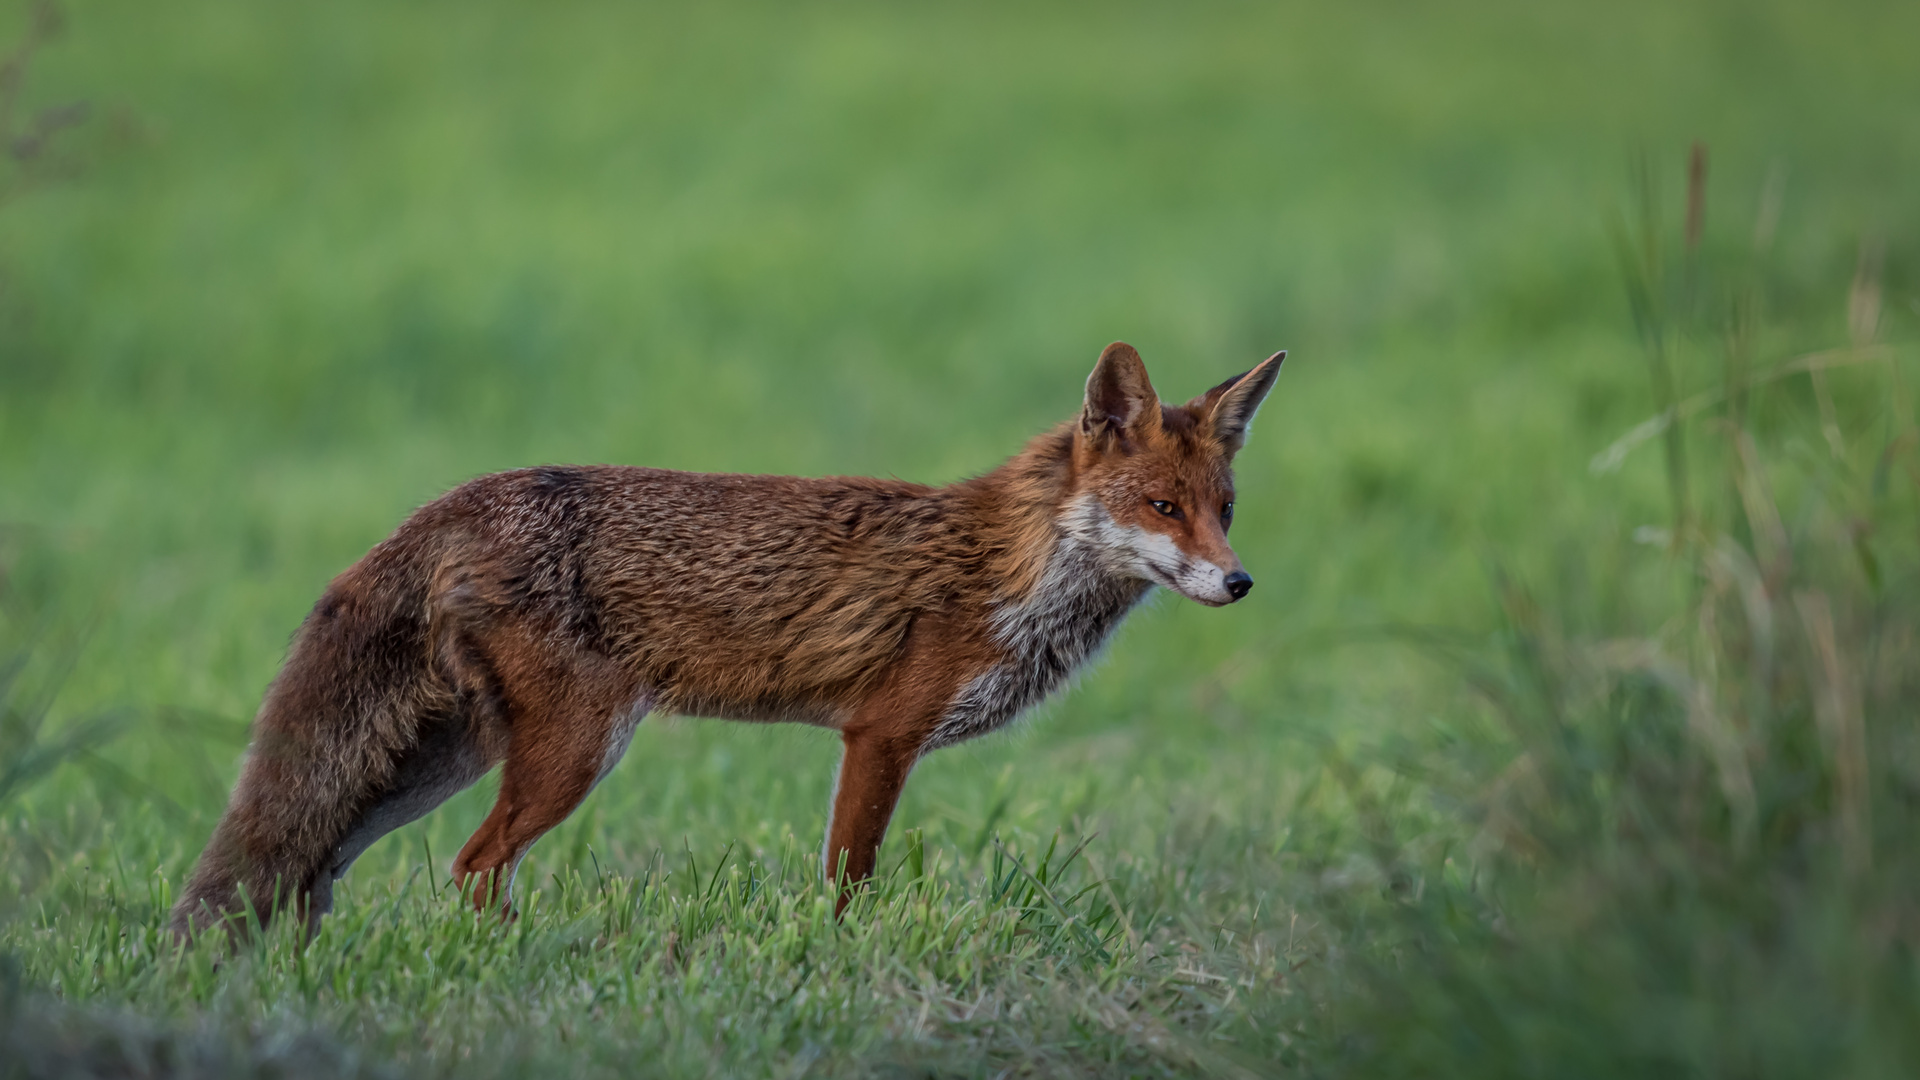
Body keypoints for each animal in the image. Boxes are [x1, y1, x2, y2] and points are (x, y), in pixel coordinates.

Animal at [172, 340, 1282, 930]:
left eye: (1225, 509)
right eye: (1161, 507)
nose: (1239, 583)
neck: (1010, 572)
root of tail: (455, 499)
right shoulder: (882, 734)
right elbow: (848, 880)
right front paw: (843, 961)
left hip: (442, 761)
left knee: (321, 870)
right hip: (572, 751)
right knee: (474, 864)